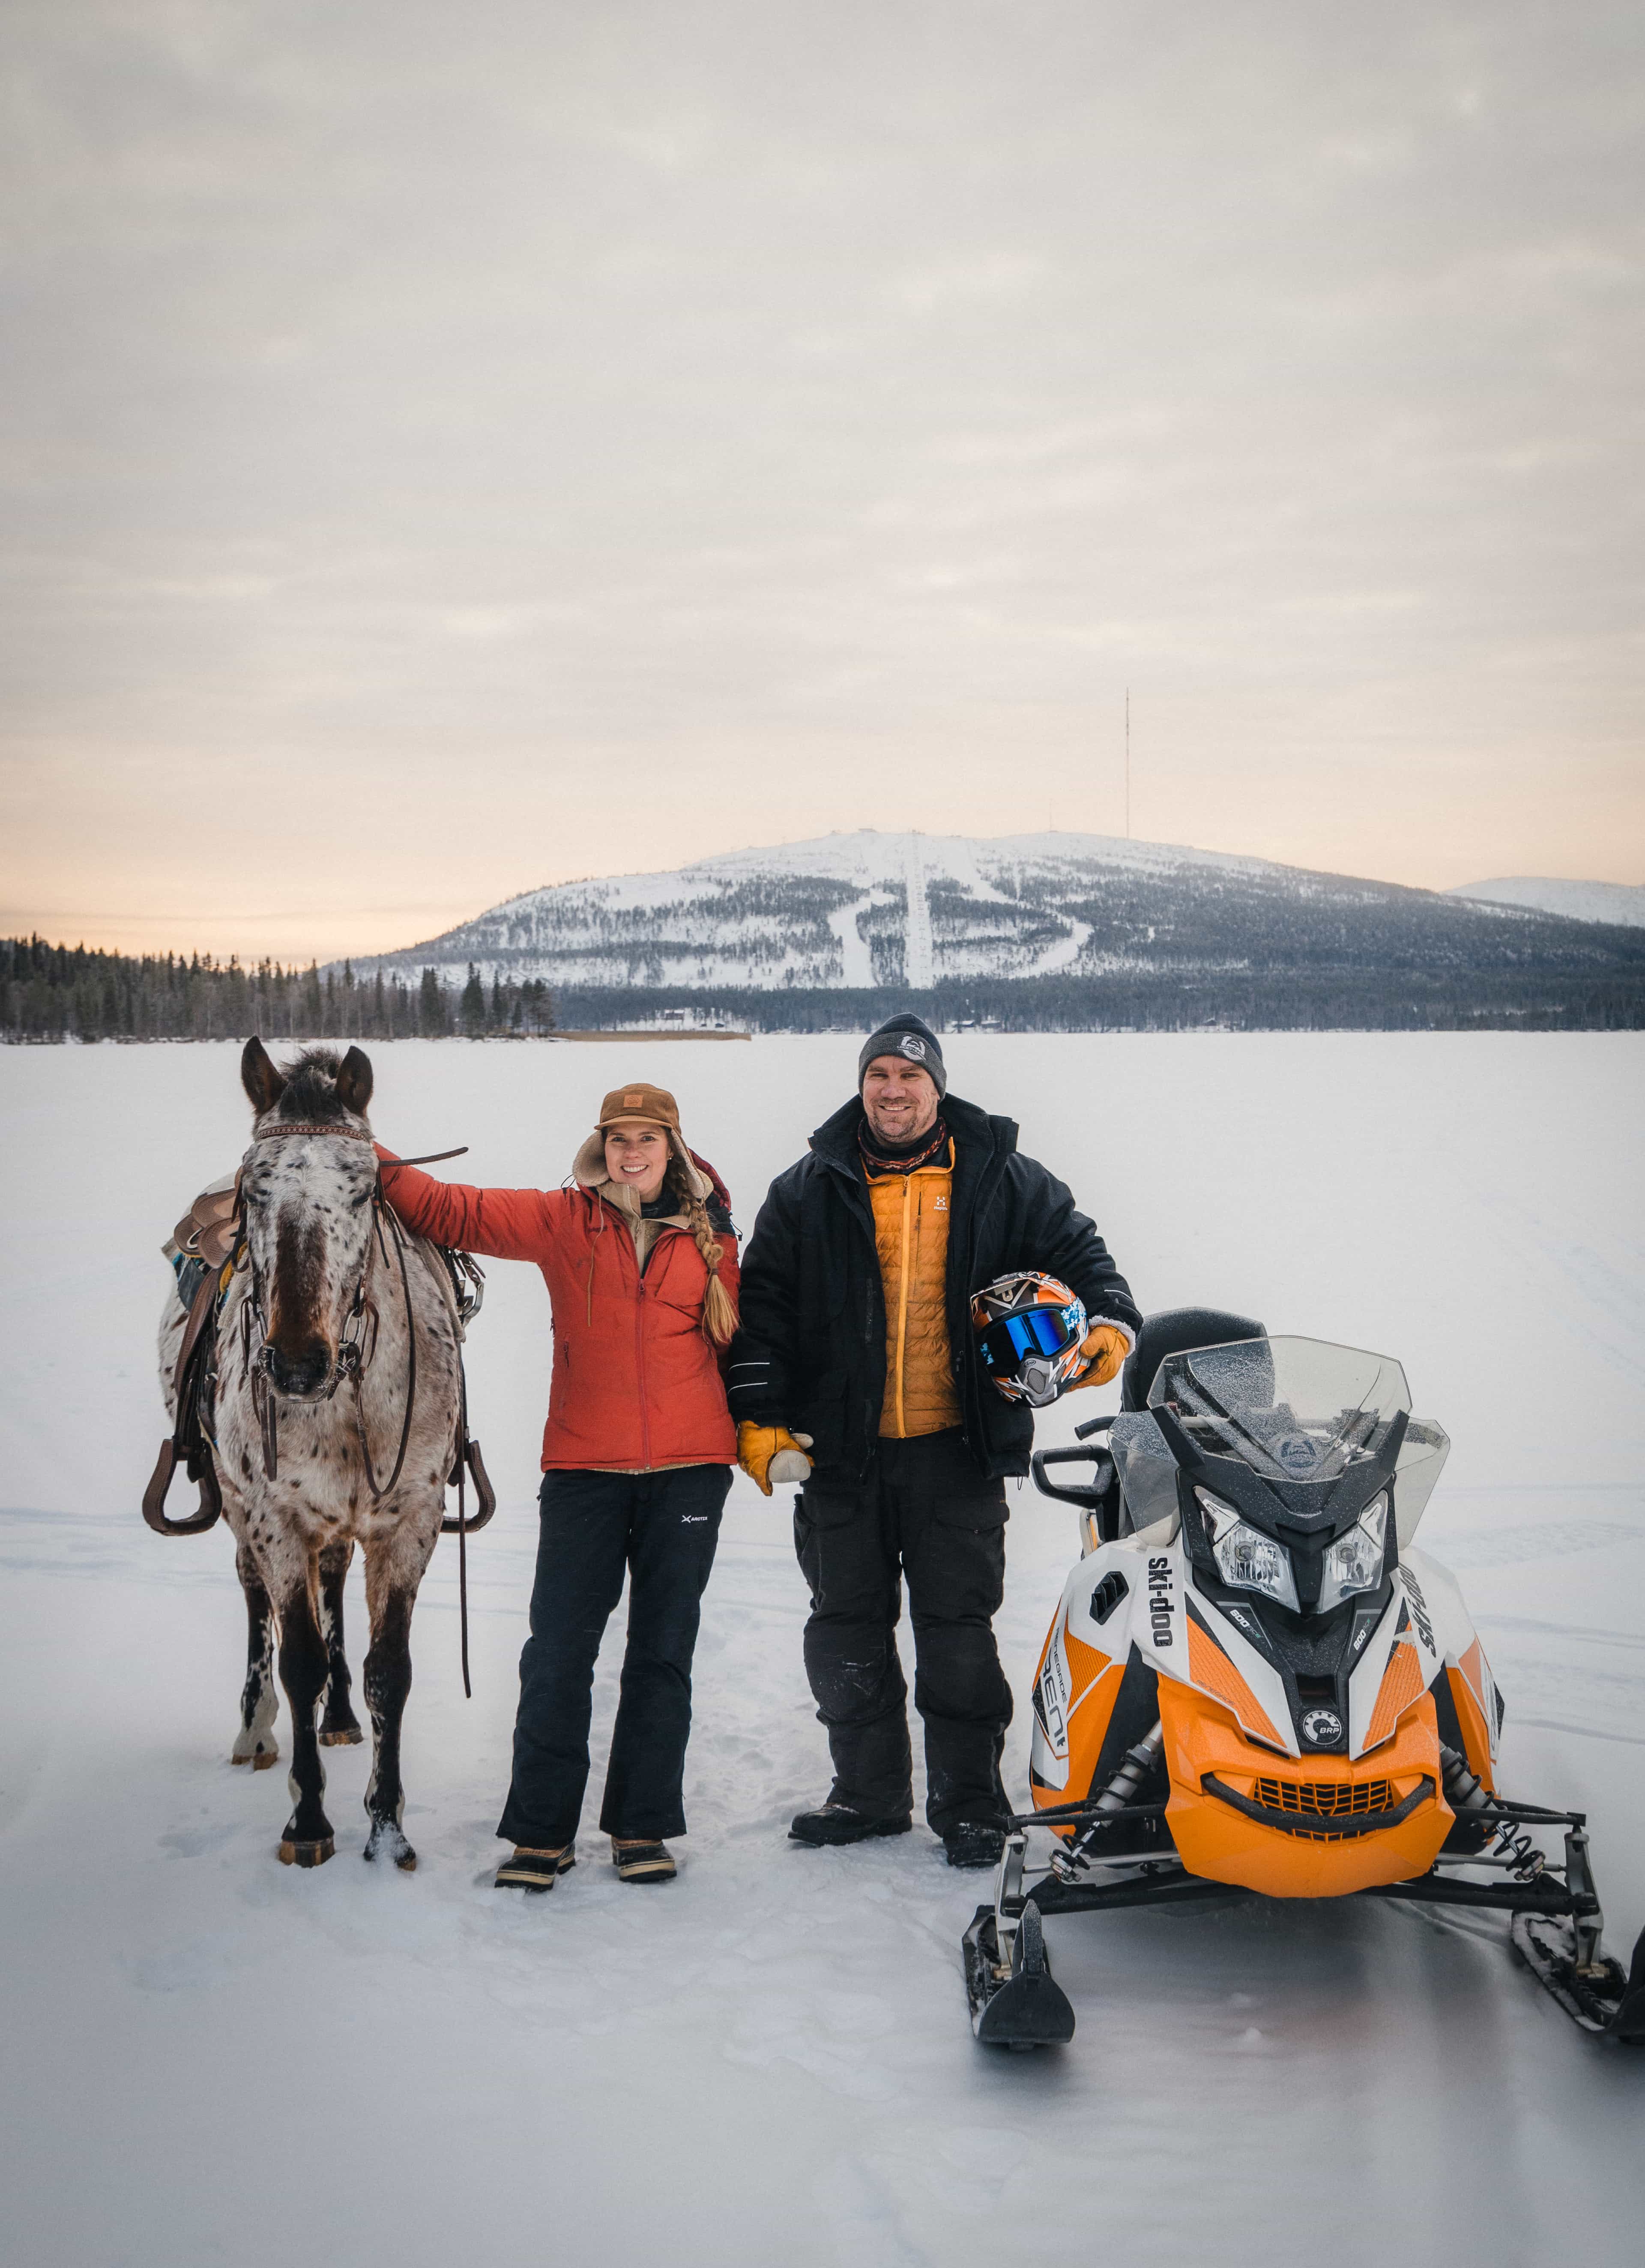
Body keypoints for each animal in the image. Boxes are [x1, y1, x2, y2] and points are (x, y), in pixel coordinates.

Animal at [158, 1039, 465, 1869]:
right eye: (256, 1189)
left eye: (362, 1191)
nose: (297, 1362)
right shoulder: (276, 1518)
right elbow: (296, 1656)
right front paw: (309, 1821)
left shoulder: (409, 1520)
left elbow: (390, 1671)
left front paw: (387, 1827)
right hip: (239, 1506)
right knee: (254, 1599)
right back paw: (255, 1726)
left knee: (334, 1582)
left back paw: (340, 1716)